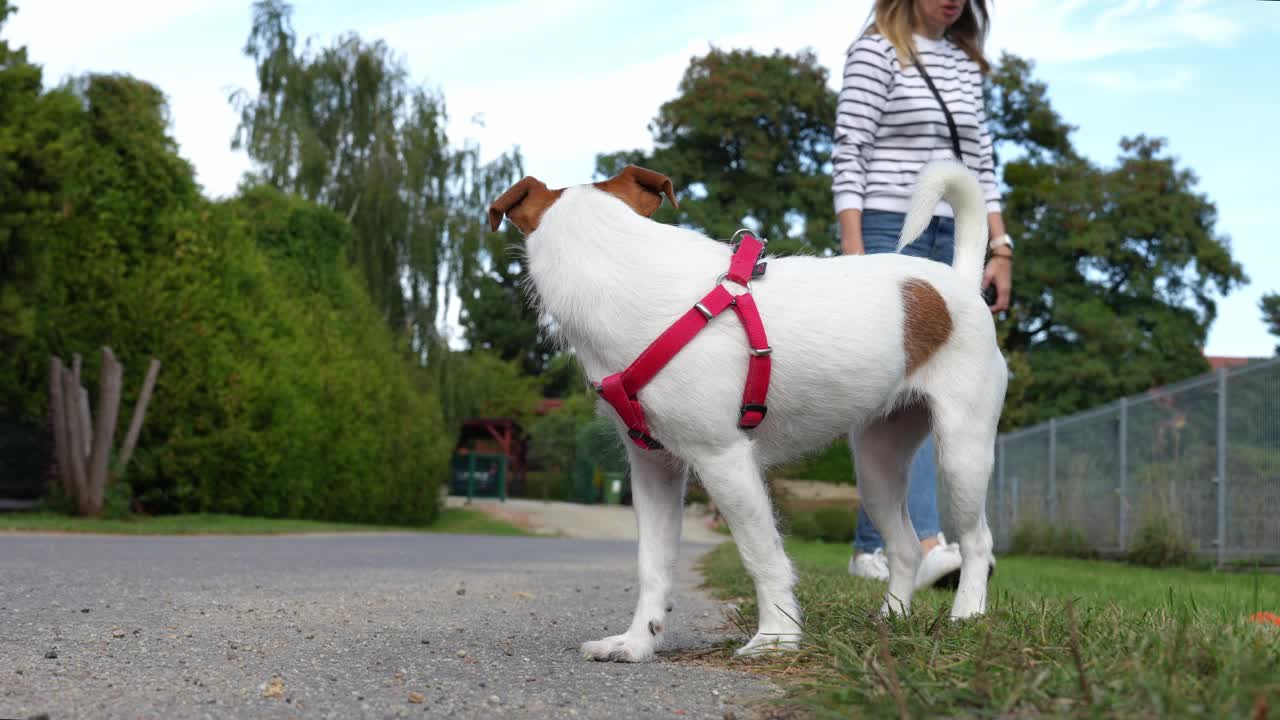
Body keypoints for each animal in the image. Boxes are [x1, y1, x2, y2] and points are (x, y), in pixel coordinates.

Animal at [483, 159, 1003, 661]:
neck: (619, 265)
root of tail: (959, 283)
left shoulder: (724, 461)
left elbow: (762, 555)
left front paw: (777, 638)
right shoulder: (653, 468)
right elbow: (652, 564)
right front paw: (637, 643)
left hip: (961, 452)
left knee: (978, 540)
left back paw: (967, 616)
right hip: (877, 467)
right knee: (906, 547)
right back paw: (891, 619)